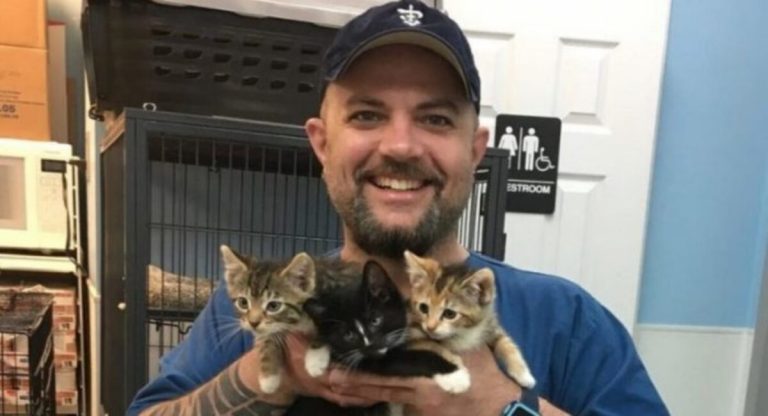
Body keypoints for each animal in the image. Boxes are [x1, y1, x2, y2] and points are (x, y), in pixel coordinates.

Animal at [216, 245, 336, 394]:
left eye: (273, 306)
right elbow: (267, 338)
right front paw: (269, 379)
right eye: (243, 303)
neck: (298, 319)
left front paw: (315, 360)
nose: (253, 322)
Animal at [404, 250, 536, 390]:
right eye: (423, 308)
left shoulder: (489, 325)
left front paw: (524, 374)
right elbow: (431, 345)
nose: (430, 327)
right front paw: (455, 365)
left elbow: (506, 343)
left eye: (449, 314)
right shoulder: (411, 335)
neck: (464, 331)